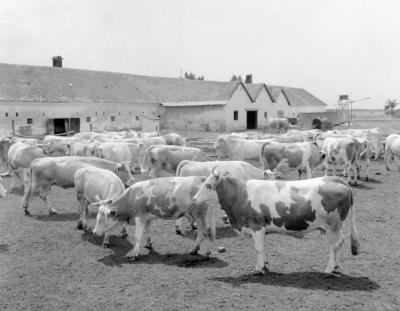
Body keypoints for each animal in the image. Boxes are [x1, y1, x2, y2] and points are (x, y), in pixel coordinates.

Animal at [192, 171, 360, 276]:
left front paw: (258, 269)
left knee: (334, 245)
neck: (241, 194)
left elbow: (258, 248)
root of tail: (337, 179)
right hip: (336, 226)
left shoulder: (256, 226)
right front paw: (264, 265)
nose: (194, 199)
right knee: (340, 242)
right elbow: (263, 249)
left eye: (208, 185)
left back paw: (329, 269)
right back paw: (335, 267)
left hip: (332, 226)